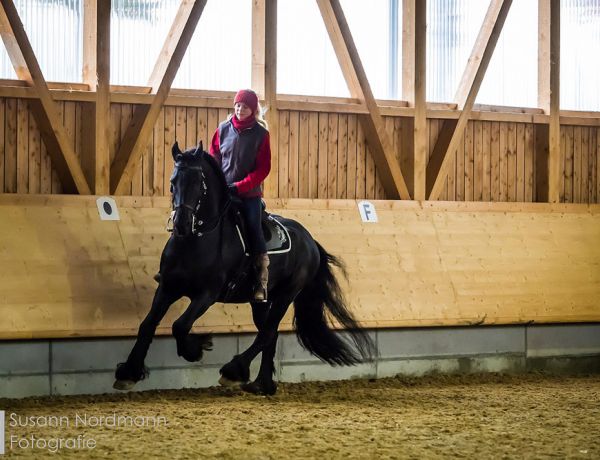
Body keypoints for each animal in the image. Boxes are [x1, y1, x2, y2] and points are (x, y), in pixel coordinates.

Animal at [113, 142, 376, 394]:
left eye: (199, 183)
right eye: (172, 182)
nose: (181, 225)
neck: (197, 240)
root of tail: (310, 241)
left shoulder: (206, 295)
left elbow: (180, 325)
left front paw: (195, 349)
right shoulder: (168, 287)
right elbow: (147, 325)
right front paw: (128, 373)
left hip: (286, 295)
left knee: (267, 333)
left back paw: (234, 371)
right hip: (259, 300)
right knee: (269, 334)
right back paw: (262, 384)